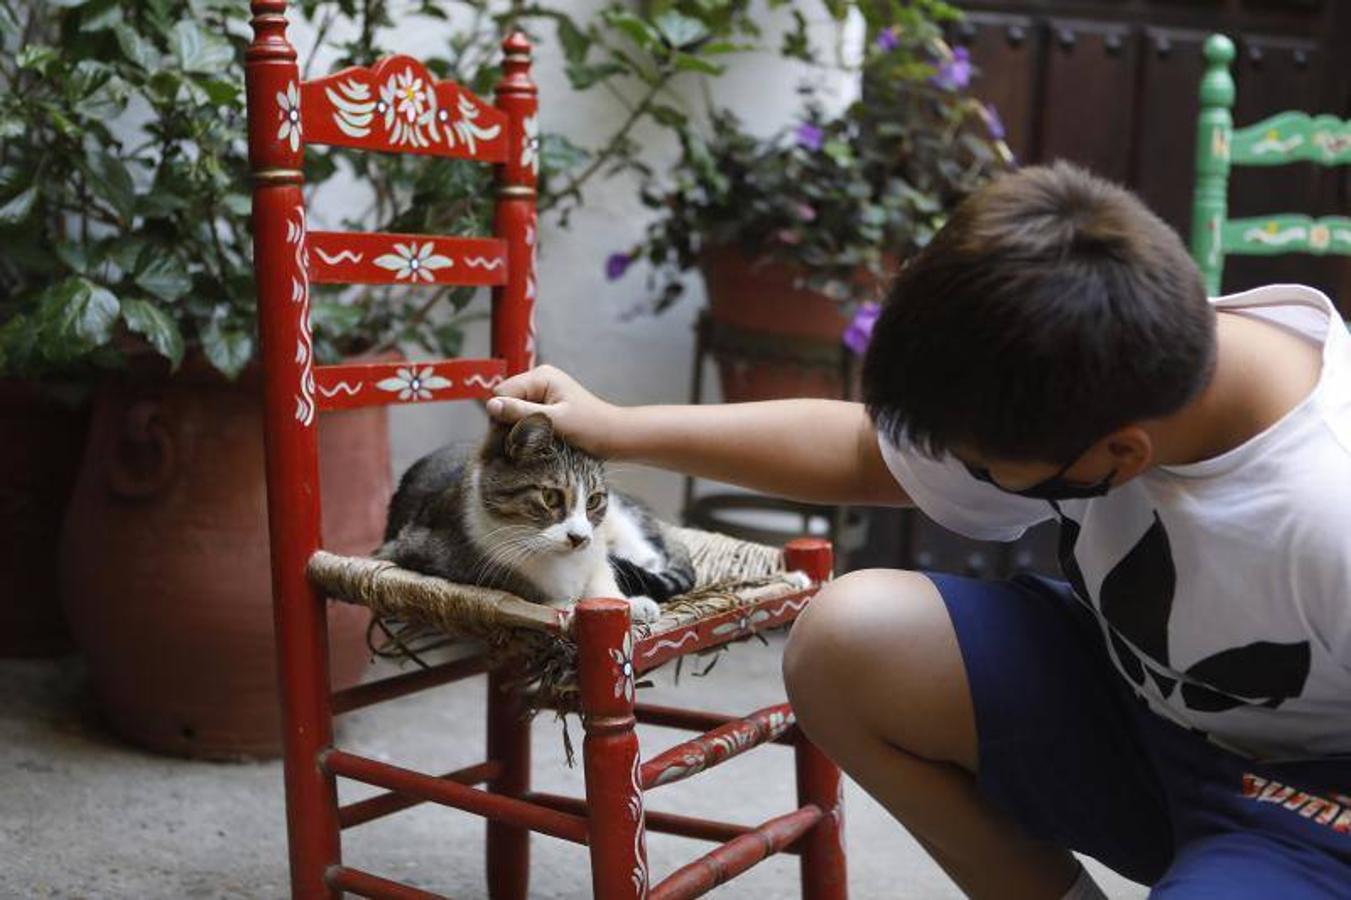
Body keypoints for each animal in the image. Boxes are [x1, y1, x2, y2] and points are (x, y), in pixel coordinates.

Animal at [380, 410, 697, 621]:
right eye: (550, 497)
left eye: (593, 500)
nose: (579, 538)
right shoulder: (417, 546)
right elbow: (520, 585)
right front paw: (563, 603)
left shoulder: (597, 552)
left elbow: (602, 575)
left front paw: (628, 603)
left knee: (652, 558)